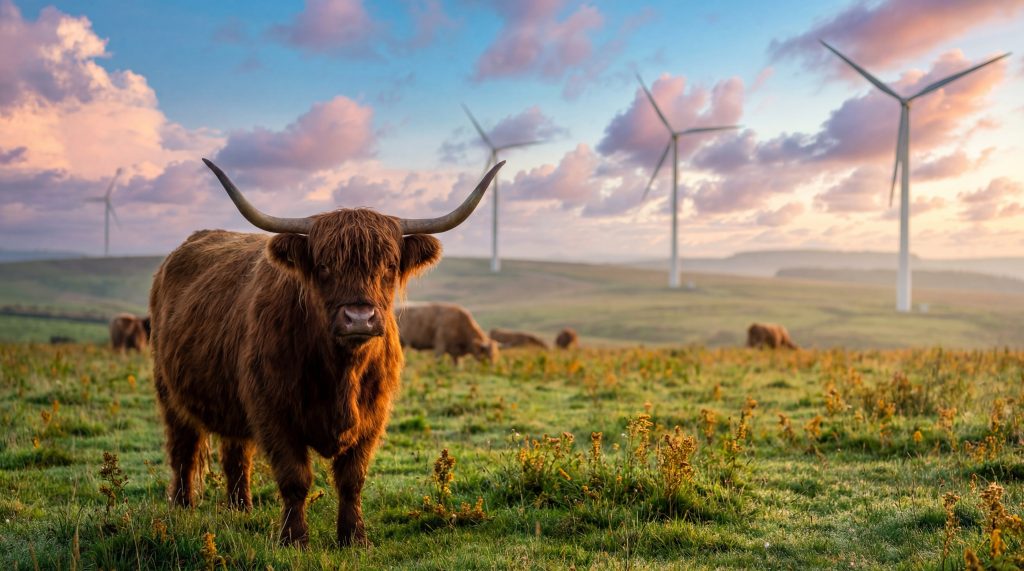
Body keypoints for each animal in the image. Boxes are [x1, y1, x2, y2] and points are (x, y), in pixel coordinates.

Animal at [149, 158, 502, 548]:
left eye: (389, 266)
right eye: (323, 266)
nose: (359, 317)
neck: (342, 371)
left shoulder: (372, 417)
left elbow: (352, 479)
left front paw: (354, 537)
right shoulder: (273, 413)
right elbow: (295, 478)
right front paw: (294, 538)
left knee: (236, 454)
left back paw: (241, 509)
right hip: (170, 393)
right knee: (183, 450)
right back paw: (182, 508)